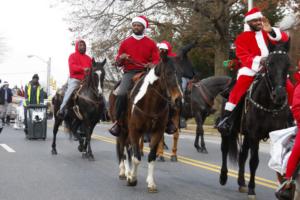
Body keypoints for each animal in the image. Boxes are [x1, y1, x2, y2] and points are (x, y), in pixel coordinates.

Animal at [109, 51, 182, 192]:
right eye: (168, 73)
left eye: (180, 74)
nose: (178, 99)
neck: (150, 102)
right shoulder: (135, 130)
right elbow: (136, 158)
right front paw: (132, 179)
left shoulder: (157, 131)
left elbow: (151, 157)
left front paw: (151, 183)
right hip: (123, 129)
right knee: (123, 149)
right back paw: (124, 172)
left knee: (127, 149)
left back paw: (128, 172)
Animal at [219, 39, 292, 199]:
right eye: (269, 63)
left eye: (288, 64)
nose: (279, 95)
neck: (270, 105)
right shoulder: (255, 135)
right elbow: (254, 161)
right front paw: (252, 189)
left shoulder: (274, 134)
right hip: (229, 131)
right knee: (225, 149)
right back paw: (223, 176)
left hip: (246, 135)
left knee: (242, 155)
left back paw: (241, 183)